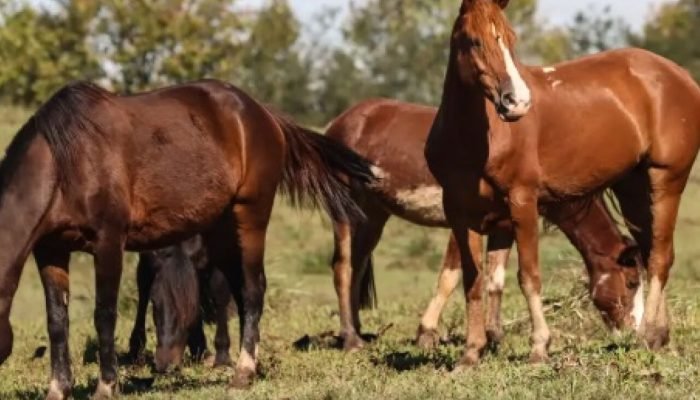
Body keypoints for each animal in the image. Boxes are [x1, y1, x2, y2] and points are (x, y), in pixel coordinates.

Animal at [128, 235, 234, 373]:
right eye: (154, 301)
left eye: (191, 306)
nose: (165, 364)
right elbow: (143, 287)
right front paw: (136, 351)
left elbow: (220, 292)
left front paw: (222, 358)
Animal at [326, 98, 643, 351]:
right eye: (631, 282)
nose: (634, 335)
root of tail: (340, 122)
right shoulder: (464, 224)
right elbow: (450, 277)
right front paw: (426, 333)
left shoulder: (504, 225)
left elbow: (496, 280)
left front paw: (494, 336)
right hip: (345, 213)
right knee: (343, 267)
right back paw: (350, 340)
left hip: (373, 216)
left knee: (356, 266)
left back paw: (357, 332)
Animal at [425, 0, 700, 368]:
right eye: (473, 41)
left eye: (510, 39)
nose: (517, 102)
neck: (474, 139)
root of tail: (681, 76)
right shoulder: (460, 212)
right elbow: (473, 279)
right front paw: (471, 353)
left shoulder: (522, 202)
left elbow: (528, 276)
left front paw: (539, 347)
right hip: (632, 187)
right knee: (649, 248)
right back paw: (658, 335)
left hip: (666, 180)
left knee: (659, 256)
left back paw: (650, 334)